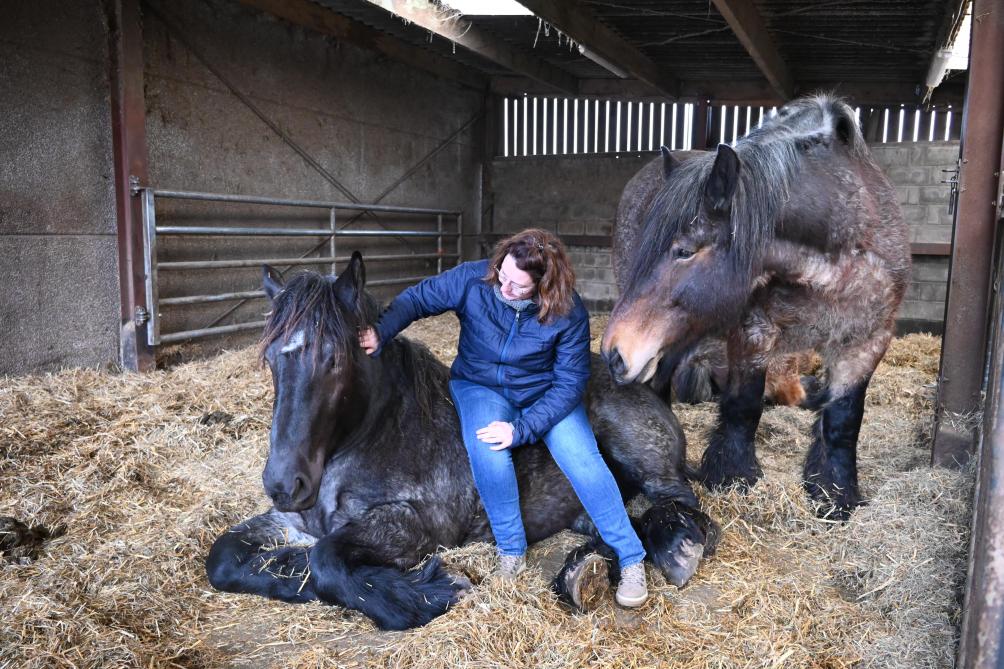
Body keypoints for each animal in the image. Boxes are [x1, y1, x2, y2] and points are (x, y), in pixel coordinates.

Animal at [602, 94, 910, 519]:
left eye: (685, 251)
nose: (614, 351)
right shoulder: (754, 329)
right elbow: (743, 405)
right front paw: (732, 477)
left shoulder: (867, 340)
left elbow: (843, 420)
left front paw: (835, 494)